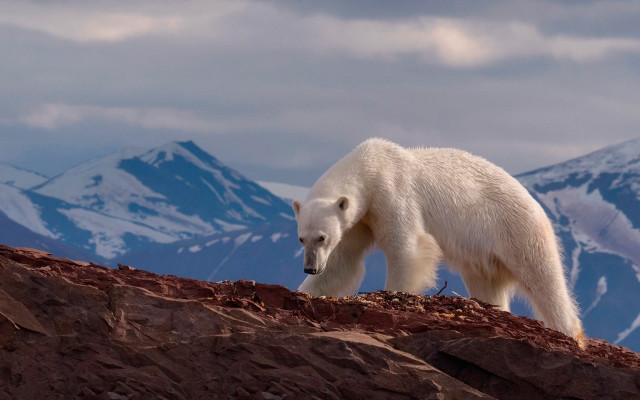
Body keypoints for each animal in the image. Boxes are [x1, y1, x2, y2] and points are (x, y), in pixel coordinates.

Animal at [292, 138, 583, 343]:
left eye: (322, 237)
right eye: (301, 239)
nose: (310, 267)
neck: (371, 166)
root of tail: (536, 203)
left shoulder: (392, 193)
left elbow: (406, 247)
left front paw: (393, 295)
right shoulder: (360, 219)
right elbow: (343, 262)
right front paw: (305, 291)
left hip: (517, 230)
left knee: (543, 279)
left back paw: (568, 331)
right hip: (483, 255)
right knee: (486, 284)